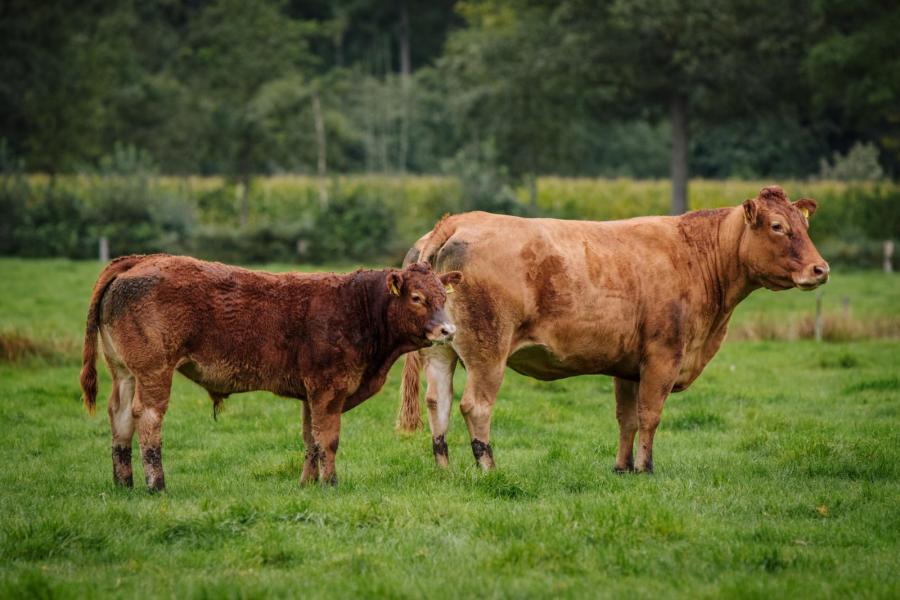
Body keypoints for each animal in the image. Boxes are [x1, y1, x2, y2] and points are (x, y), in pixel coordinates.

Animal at [80, 255, 462, 490]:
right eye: (416, 297)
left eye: (444, 297)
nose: (448, 330)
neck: (357, 308)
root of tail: (142, 259)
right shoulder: (328, 388)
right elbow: (328, 439)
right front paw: (331, 483)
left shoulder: (311, 393)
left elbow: (311, 440)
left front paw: (307, 483)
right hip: (154, 371)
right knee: (148, 418)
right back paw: (156, 484)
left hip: (124, 373)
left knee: (120, 417)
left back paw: (124, 482)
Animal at [397, 186, 829, 473]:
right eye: (777, 226)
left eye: (803, 225)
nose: (820, 269)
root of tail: (459, 219)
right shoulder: (663, 355)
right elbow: (650, 415)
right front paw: (646, 469)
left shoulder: (628, 365)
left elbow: (628, 418)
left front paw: (622, 469)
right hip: (489, 350)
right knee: (475, 405)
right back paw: (488, 469)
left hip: (441, 350)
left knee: (438, 402)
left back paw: (445, 470)